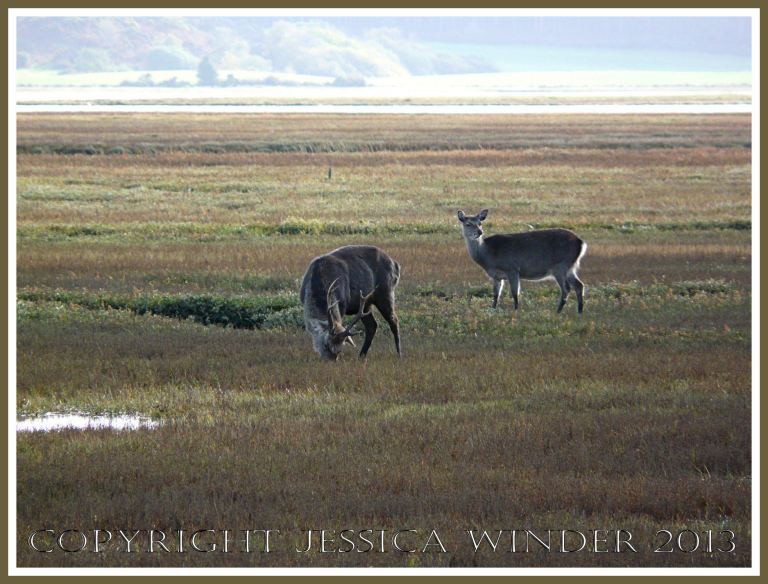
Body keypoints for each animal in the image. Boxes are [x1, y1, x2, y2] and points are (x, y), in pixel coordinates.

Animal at [457, 209, 587, 313]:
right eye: (468, 224)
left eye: (480, 223)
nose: (480, 232)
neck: (488, 256)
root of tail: (581, 242)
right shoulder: (497, 276)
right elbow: (495, 295)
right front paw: (492, 310)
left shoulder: (512, 269)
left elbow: (515, 293)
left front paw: (516, 310)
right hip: (570, 267)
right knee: (579, 285)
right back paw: (579, 311)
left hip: (560, 266)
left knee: (566, 288)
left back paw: (558, 312)